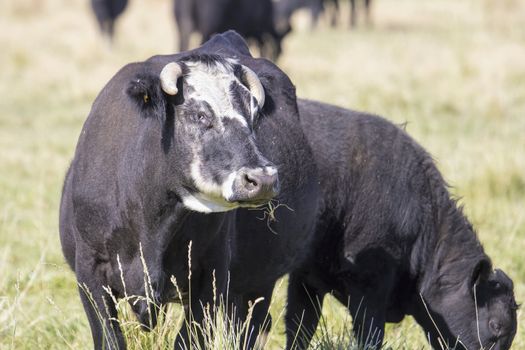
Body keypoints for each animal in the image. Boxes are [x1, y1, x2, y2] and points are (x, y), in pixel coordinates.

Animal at [59, 31, 318, 348]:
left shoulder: (211, 276)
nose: (262, 178)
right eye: (199, 115)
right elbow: (110, 338)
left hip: (257, 282)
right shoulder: (90, 273)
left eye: (254, 115)